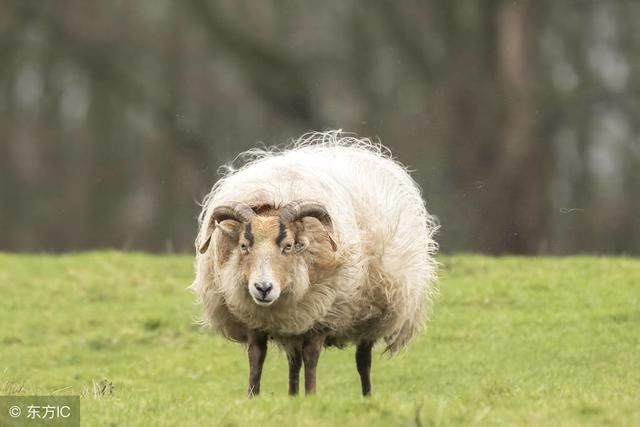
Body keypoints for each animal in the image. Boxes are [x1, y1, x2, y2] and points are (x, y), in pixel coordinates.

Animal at [192, 131, 438, 398]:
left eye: (288, 246)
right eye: (244, 246)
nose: (263, 288)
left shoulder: (321, 316)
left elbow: (311, 358)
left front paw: (311, 396)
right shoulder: (255, 322)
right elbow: (256, 359)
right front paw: (253, 397)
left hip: (372, 313)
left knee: (363, 360)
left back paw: (367, 396)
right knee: (293, 361)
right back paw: (292, 396)